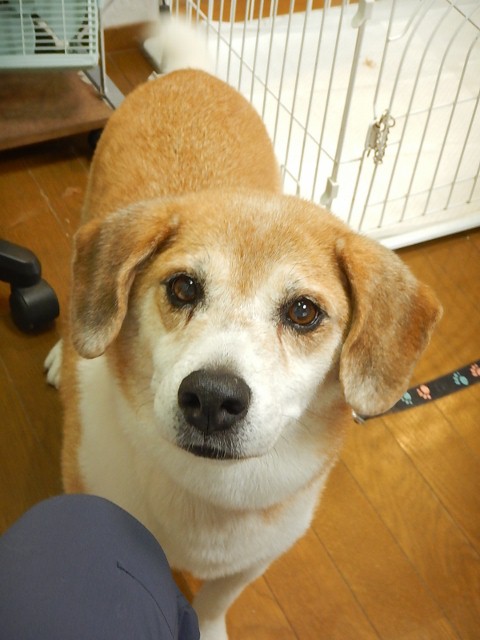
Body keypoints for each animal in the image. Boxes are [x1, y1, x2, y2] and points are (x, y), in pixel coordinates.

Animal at [45, 65, 441, 639]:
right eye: (183, 287)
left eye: (304, 312)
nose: (212, 397)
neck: (208, 489)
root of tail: (188, 73)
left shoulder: (253, 560)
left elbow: (214, 601)